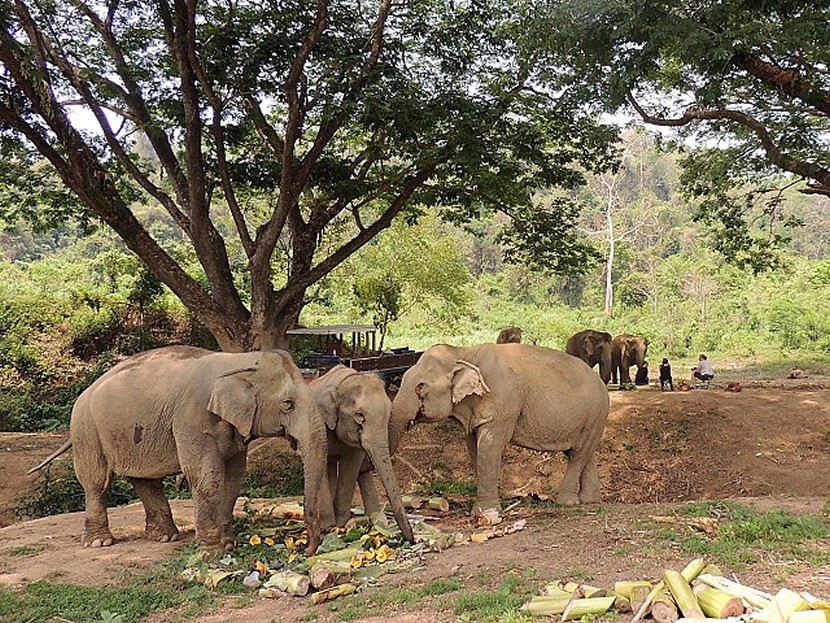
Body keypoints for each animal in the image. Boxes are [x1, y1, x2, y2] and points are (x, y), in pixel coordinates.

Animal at [28, 346, 329, 554]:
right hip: (86, 429)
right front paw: (212, 553)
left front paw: (228, 544)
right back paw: (99, 543)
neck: (239, 360)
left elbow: (234, 476)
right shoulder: (192, 418)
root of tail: (85, 391)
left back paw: (164, 537)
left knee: (145, 481)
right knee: (96, 482)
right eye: (288, 404)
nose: (307, 549)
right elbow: (207, 475)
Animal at [310, 366, 414, 543]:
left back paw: (377, 519)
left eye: (389, 412)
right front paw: (328, 527)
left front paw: (340, 524)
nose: (412, 539)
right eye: (359, 415)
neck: (343, 382)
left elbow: (351, 468)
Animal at [389, 343, 609, 524]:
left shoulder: (502, 402)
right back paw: (590, 501)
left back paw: (566, 502)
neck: (463, 352)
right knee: (583, 453)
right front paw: (485, 510)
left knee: (579, 455)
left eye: (421, 387)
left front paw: (486, 512)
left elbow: (489, 445)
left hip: (595, 413)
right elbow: (474, 447)